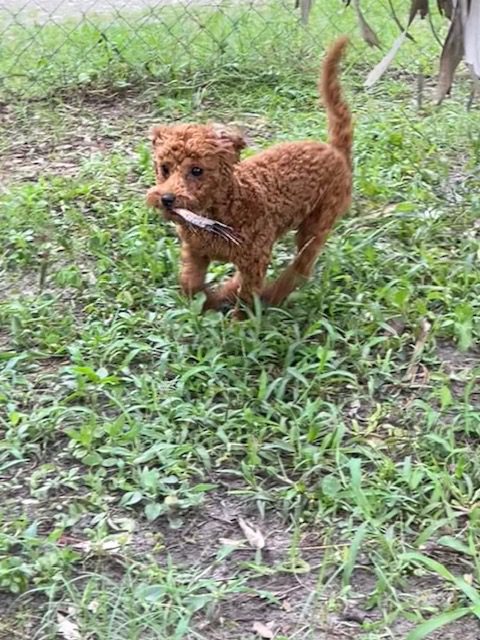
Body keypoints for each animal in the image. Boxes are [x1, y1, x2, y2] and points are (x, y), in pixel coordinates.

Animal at [146, 36, 352, 318]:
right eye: (164, 168)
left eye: (197, 171)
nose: (166, 199)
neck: (222, 209)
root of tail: (335, 151)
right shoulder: (195, 252)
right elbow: (190, 284)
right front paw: (208, 301)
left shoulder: (254, 258)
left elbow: (244, 295)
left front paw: (236, 317)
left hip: (318, 222)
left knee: (301, 267)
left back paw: (273, 294)